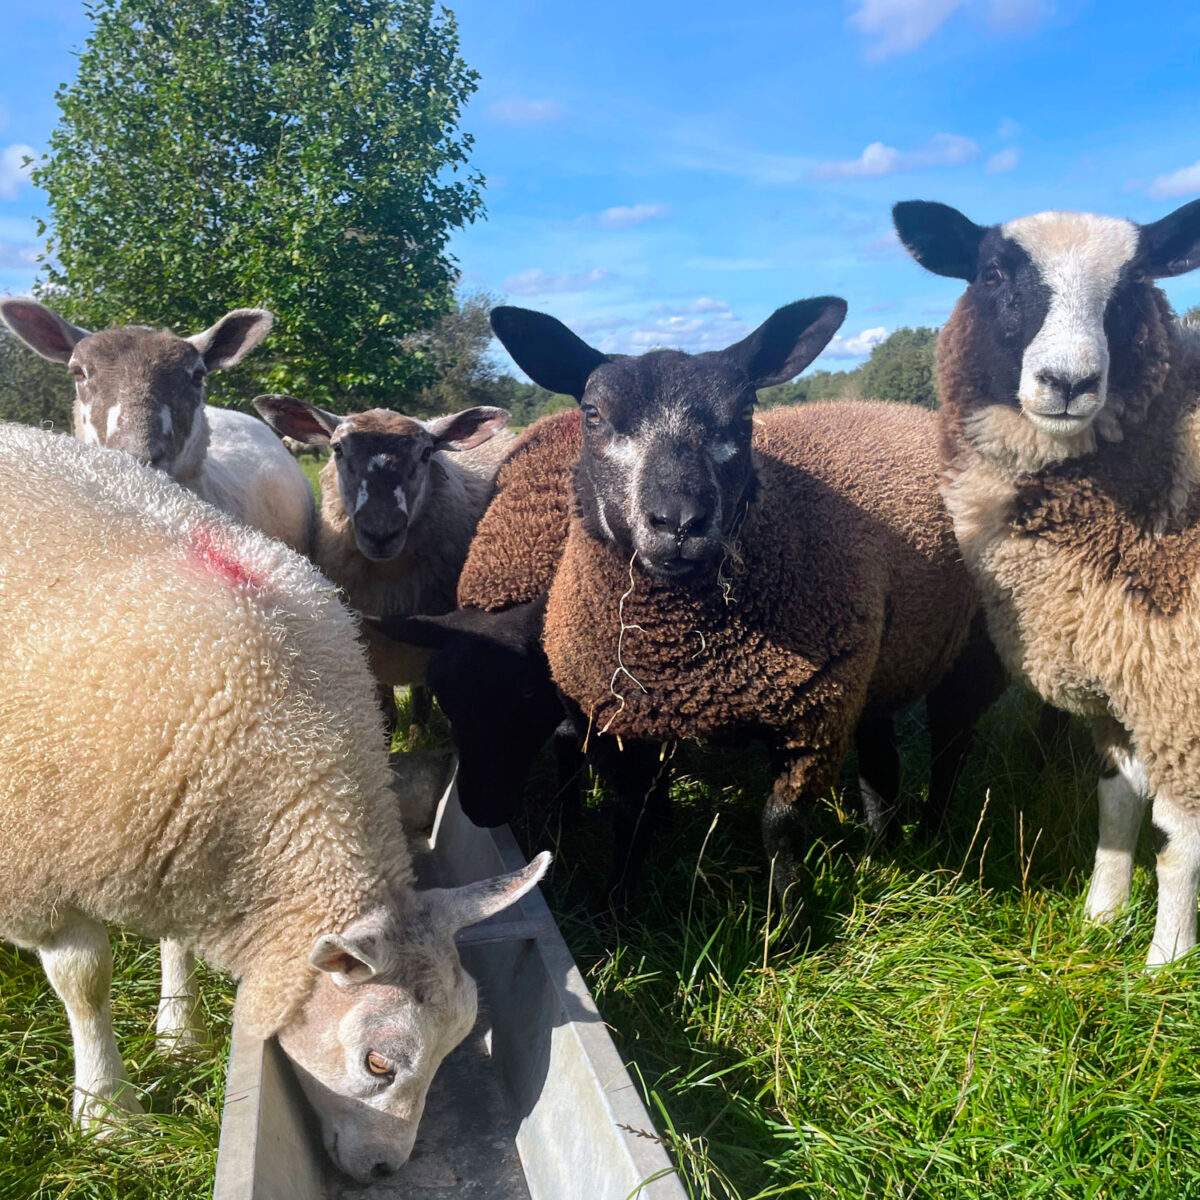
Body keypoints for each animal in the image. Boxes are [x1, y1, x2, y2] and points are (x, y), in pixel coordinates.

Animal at [251, 394, 513, 725]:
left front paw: (417, 729)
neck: (389, 583)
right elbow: (386, 712)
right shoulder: (373, 656)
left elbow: (424, 702)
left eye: (426, 452)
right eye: (337, 449)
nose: (380, 531)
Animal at [382, 303, 1005, 897]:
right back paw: (884, 843)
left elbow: (778, 829)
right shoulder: (621, 721)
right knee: (881, 757)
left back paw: (933, 833)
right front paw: (619, 897)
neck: (688, 652)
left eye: (747, 412)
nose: (679, 522)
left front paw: (789, 919)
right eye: (594, 413)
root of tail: (909, 412)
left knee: (951, 743)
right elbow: (629, 814)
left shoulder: (813, 726)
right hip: (880, 665)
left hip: (970, 652)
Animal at [892, 196, 1200, 967]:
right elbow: (1117, 801)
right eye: (994, 272)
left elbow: (1177, 840)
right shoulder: (1125, 677)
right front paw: (1100, 920)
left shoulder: (1180, 689)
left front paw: (1165, 962)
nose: (1068, 383)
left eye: (1132, 286)